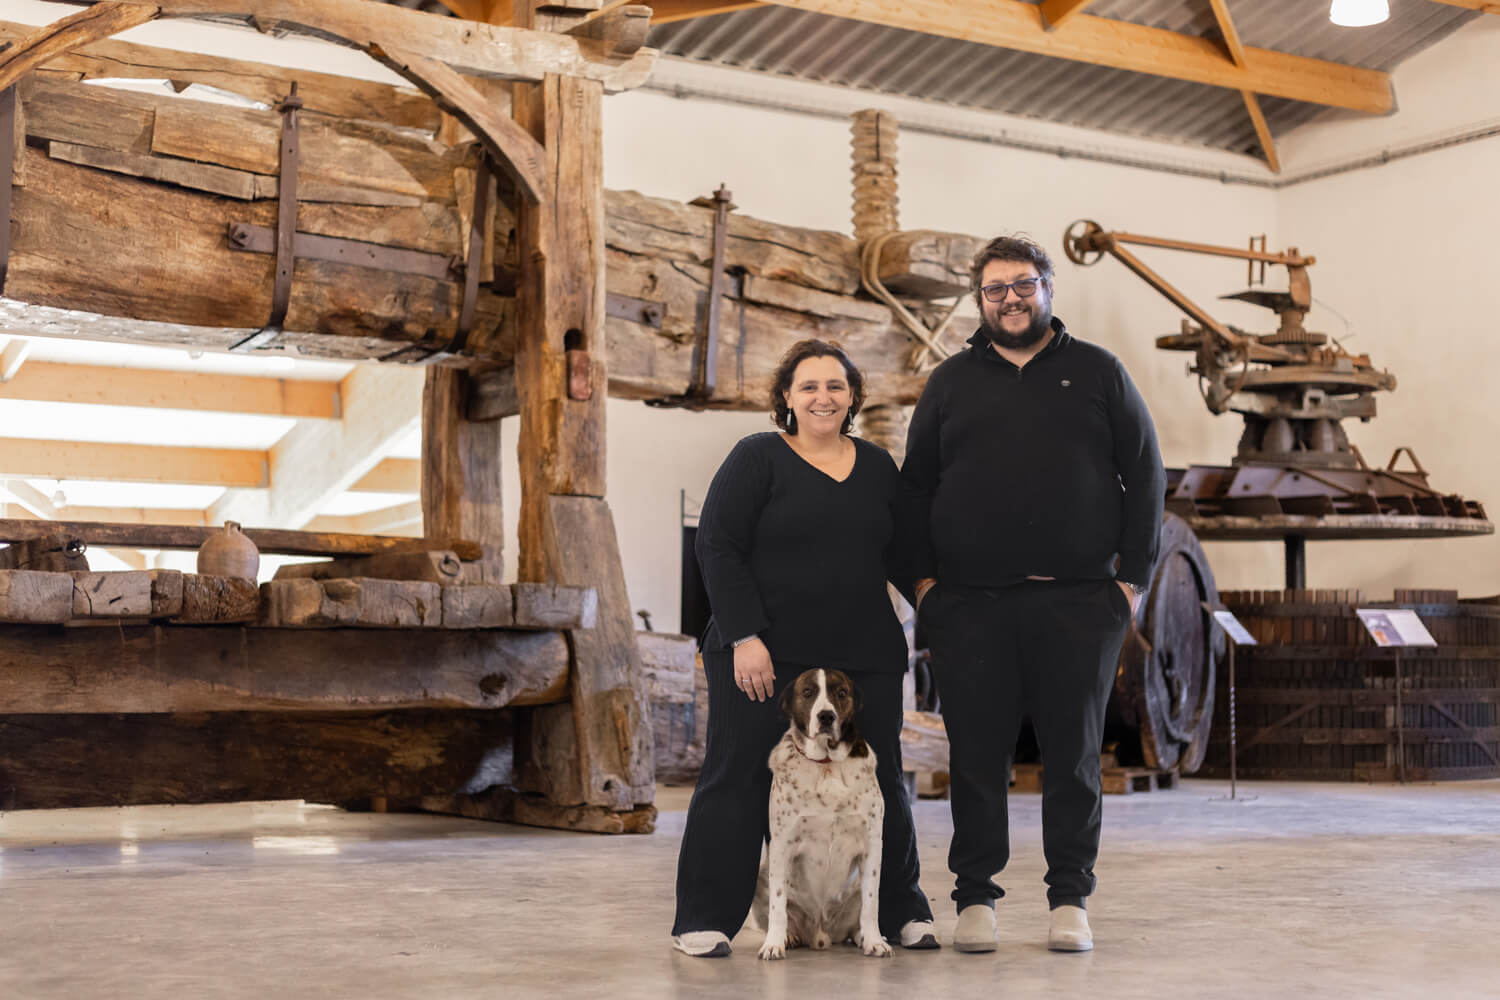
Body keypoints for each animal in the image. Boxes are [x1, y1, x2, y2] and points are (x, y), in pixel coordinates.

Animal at [753, 667, 891, 960]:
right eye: (808, 692)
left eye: (841, 692)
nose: (826, 716)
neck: (826, 764)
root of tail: (820, 934)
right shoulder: (782, 844)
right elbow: (778, 903)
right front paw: (773, 944)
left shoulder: (872, 845)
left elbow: (870, 905)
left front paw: (874, 941)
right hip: (760, 879)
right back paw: (789, 936)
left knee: (858, 916)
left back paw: (862, 937)